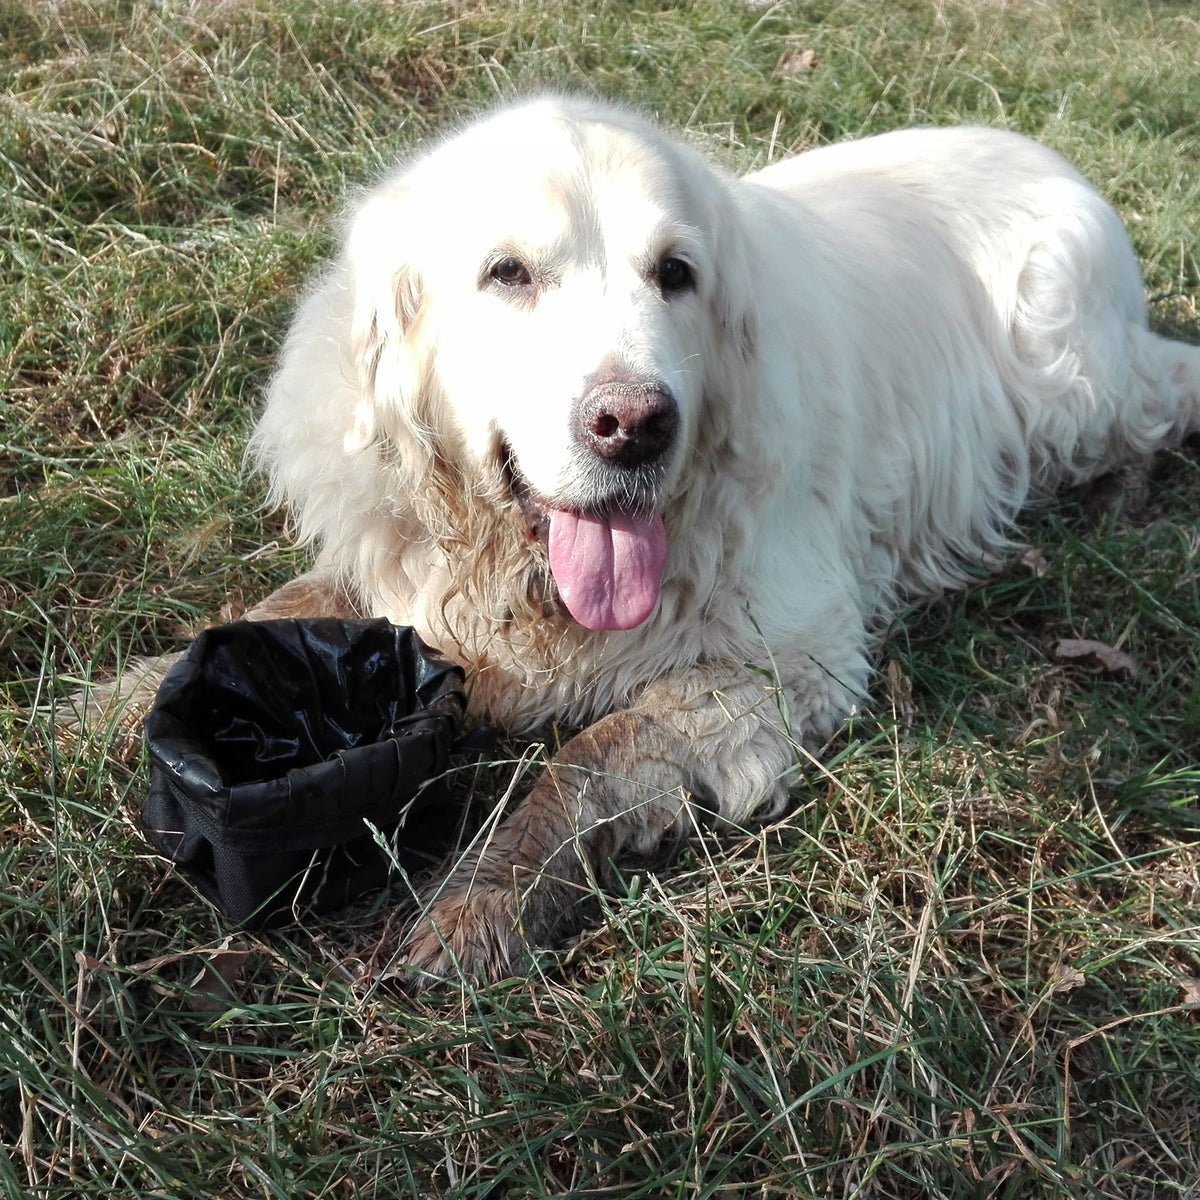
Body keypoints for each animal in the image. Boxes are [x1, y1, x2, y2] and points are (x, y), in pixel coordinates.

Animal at [238, 98, 1195, 979]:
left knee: (1160, 399)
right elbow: (290, 605)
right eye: (507, 273)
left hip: (1071, 382)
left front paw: (487, 899)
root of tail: (1045, 153)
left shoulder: (780, 666)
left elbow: (587, 758)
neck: (522, 575)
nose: (634, 427)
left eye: (676, 273)